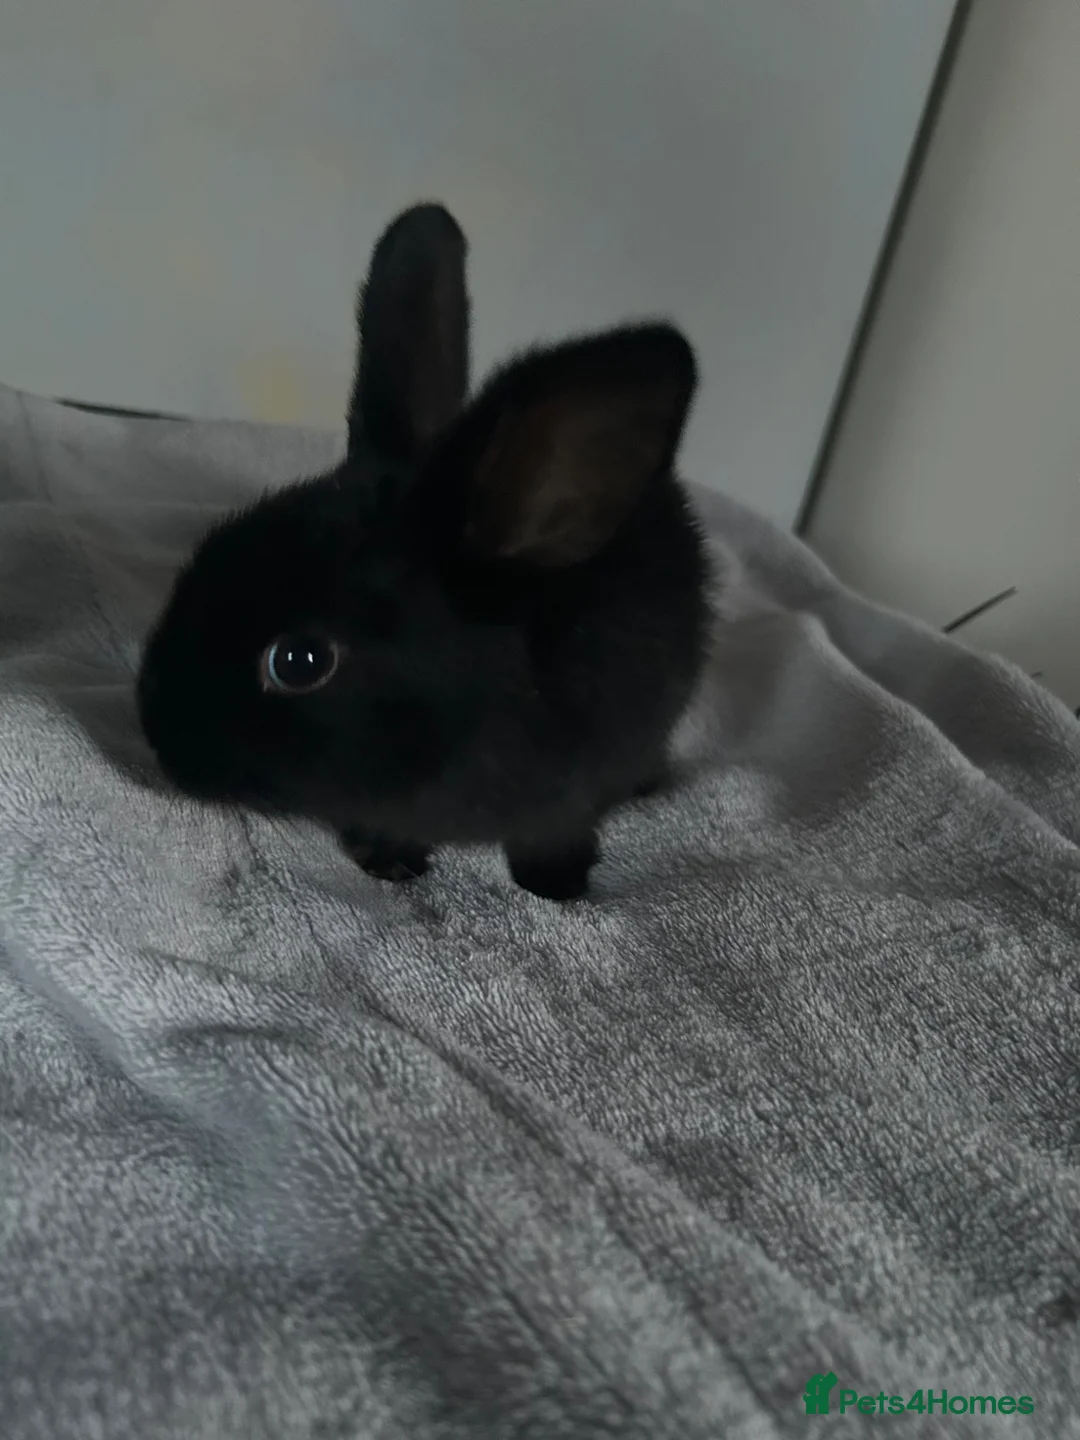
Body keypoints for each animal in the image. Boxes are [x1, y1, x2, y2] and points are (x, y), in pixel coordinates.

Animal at [137, 202, 713, 901]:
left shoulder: (578, 787)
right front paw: (384, 859)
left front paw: (557, 885)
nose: (155, 732)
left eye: (299, 661)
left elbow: (557, 832)